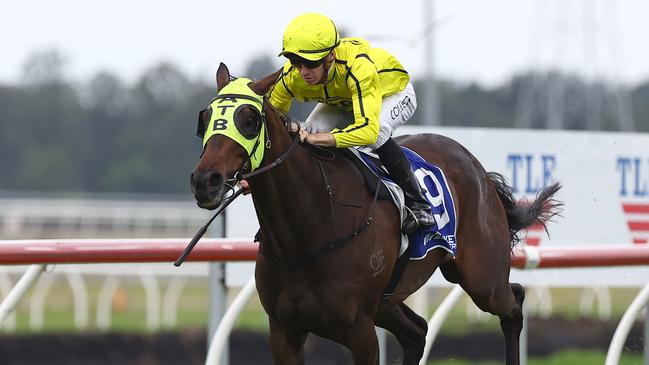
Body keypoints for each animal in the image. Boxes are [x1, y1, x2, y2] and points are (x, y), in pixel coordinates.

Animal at [190, 63, 560, 364]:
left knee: (513, 305)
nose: (205, 181)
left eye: (250, 121)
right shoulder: (284, 330)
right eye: (205, 118)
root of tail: (477, 167)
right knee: (418, 332)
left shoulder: (360, 330)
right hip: (389, 302)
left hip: (481, 278)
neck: (308, 229)